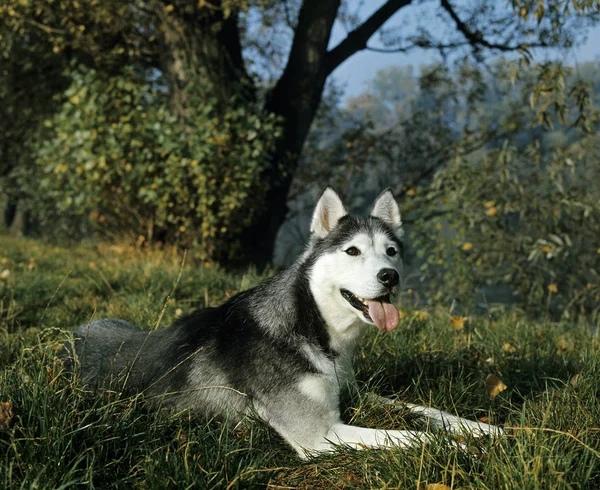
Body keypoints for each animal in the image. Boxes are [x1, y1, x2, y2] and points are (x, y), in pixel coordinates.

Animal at [62, 189, 502, 460]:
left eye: (392, 251)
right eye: (353, 251)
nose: (389, 276)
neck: (310, 328)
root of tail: (69, 338)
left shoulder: (354, 392)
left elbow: (425, 411)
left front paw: (487, 431)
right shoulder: (322, 436)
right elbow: (413, 436)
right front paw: (461, 449)